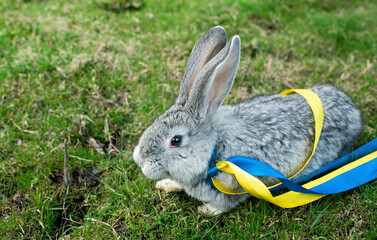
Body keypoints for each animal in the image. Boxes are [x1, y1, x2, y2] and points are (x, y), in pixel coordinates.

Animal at [132, 26, 362, 216]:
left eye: (176, 140)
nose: (139, 161)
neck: (213, 152)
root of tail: (353, 110)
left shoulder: (232, 187)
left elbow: (223, 205)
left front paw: (205, 210)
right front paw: (165, 184)